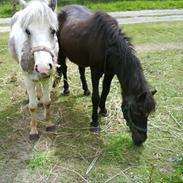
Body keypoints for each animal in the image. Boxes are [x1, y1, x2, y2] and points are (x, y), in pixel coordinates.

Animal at [8, 0, 58, 139]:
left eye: (53, 31)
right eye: (27, 31)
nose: (43, 66)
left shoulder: (47, 76)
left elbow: (47, 102)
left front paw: (49, 124)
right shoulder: (28, 77)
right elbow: (32, 106)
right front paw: (34, 130)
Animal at [56, 5, 157, 145]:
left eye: (148, 113)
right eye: (137, 112)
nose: (141, 140)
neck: (107, 45)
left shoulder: (110, 73)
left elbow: (105, 92)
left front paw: (103, 110)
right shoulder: (95, 72)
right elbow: (96, 97)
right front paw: (94, 122)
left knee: (81, 70)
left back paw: (85, 90)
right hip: (62, 51)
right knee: (64, 69)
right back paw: (66, 89)